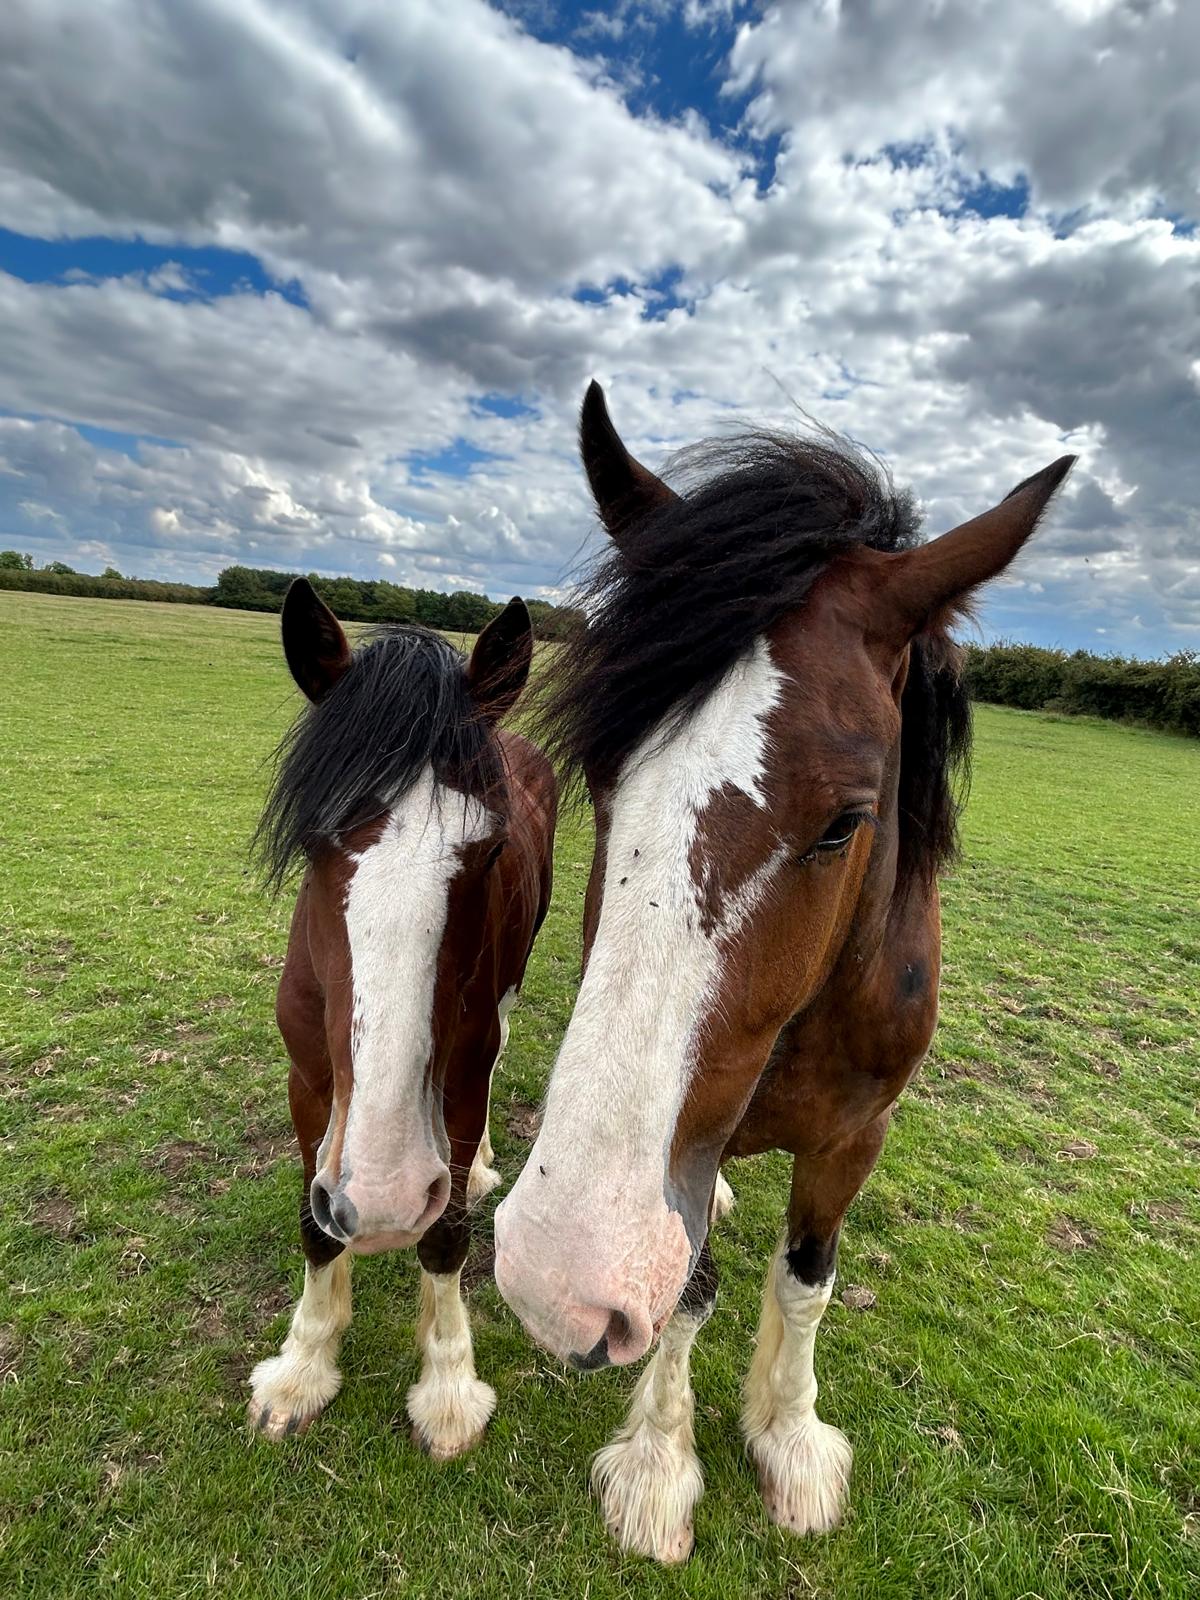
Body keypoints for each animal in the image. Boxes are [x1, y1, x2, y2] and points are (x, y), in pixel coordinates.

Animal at [247, 579, 556, 1458]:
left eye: (491, 851)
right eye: (313, 841)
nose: (382, 1203)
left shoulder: (457, 1079)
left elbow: (446, 1232)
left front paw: (448, 1386)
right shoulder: (310, 1081)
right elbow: (315, 1225)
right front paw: (302, 1369)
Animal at [494, 382, 1074, 1561]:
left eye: (845, 821)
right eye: (602, 777)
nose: (557, 1274)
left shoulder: (859, 1135)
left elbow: (807, 1279)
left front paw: (790, 1437)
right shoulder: (686, 1150)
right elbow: (688, 1288)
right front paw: (660, 1464)